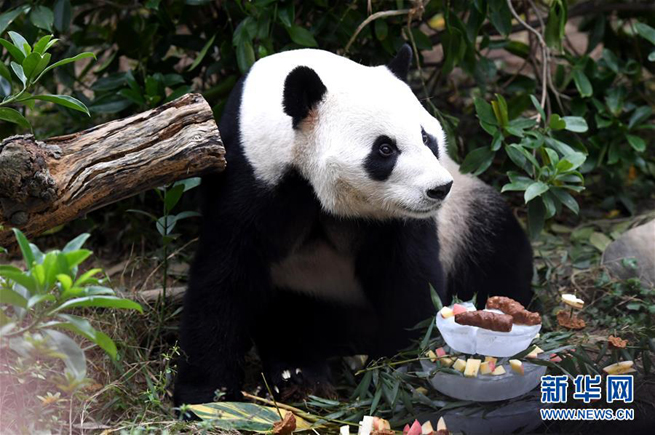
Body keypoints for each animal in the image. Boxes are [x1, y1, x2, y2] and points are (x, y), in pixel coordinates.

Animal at [173, 45, 533, 407]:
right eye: (385, 148)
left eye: (426, 137)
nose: (438, 189)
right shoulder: (247, 175)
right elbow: (224, 278)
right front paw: (206, 395)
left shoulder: (399, 219)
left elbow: (407, 278)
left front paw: (394, 369)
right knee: (292, 316)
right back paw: (299, 373)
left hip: (463, 214)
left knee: (494, 246)